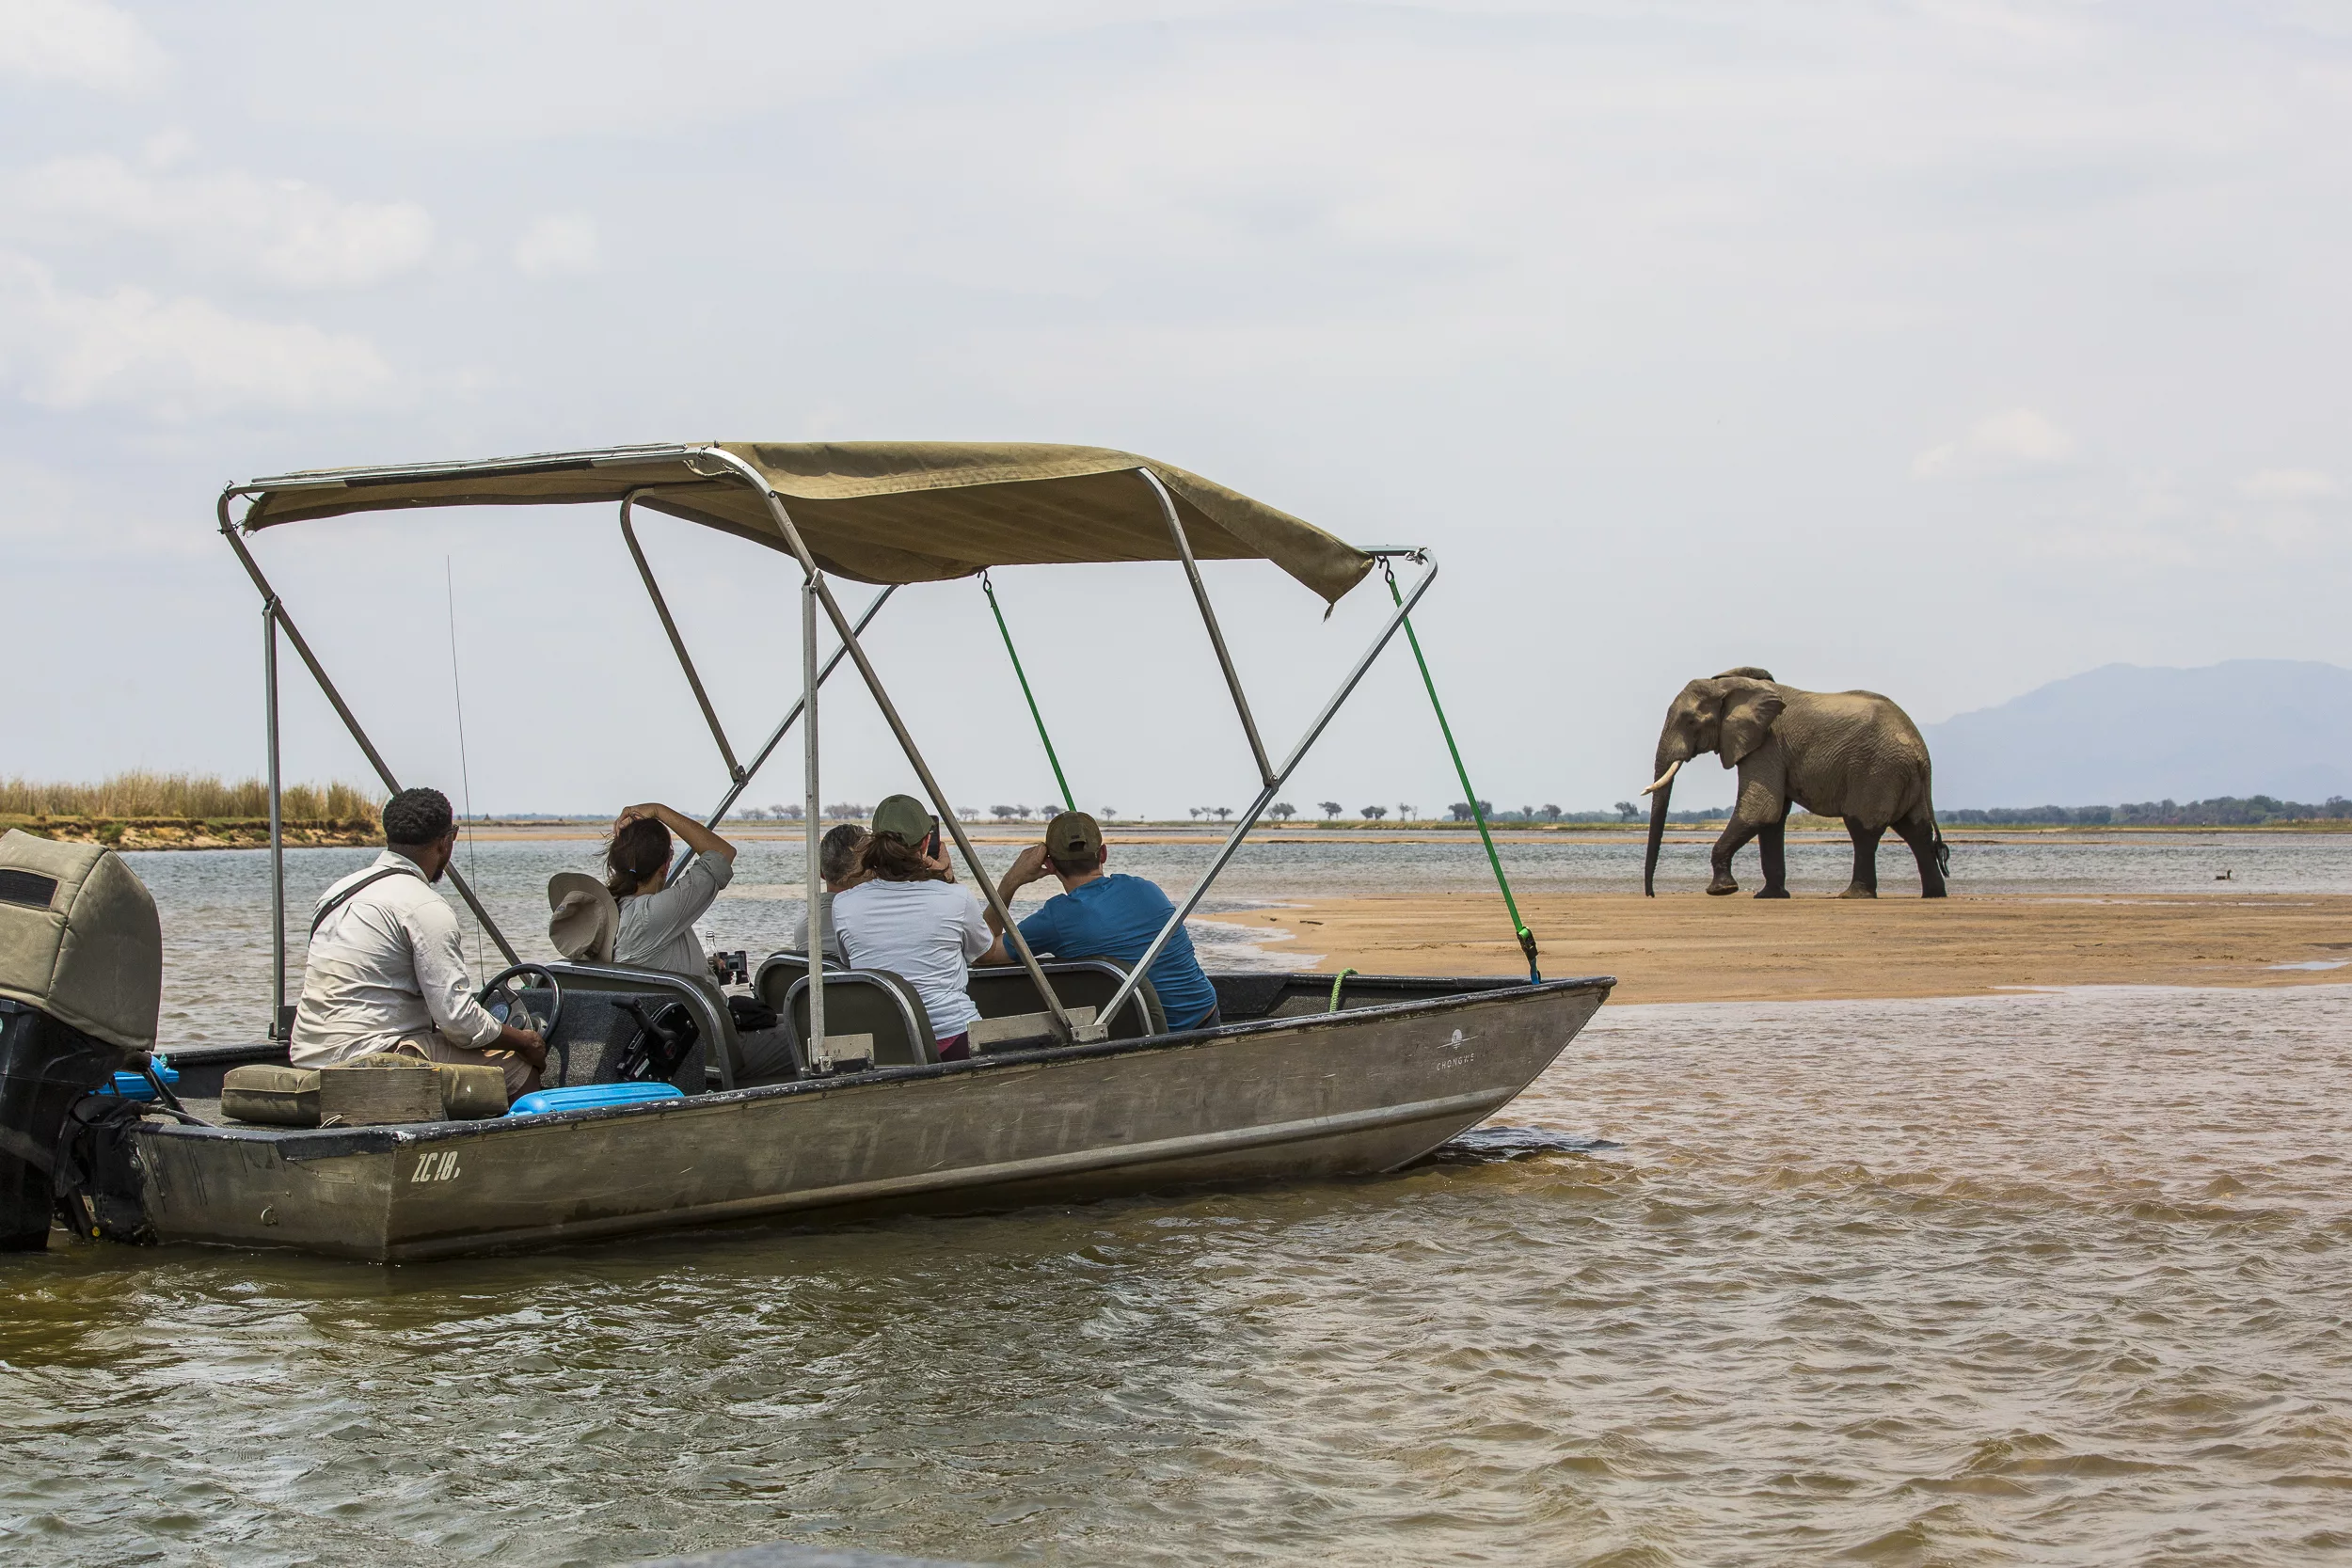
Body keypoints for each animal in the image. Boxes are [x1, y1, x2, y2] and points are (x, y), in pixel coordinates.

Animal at [1637, 667, 1947, 902]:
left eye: (1690, 721)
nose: (1651, 894)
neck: (1730, 685)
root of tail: (1923, 754)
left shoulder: (1767, 746)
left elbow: (1759, 811)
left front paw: (1722, 890)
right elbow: (1772, 820)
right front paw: (1769, 896)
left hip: (1877, 771)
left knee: (1863, 829)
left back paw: (1853, 895)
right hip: (1900, 776)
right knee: (1916, 830)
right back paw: (1933, 895)